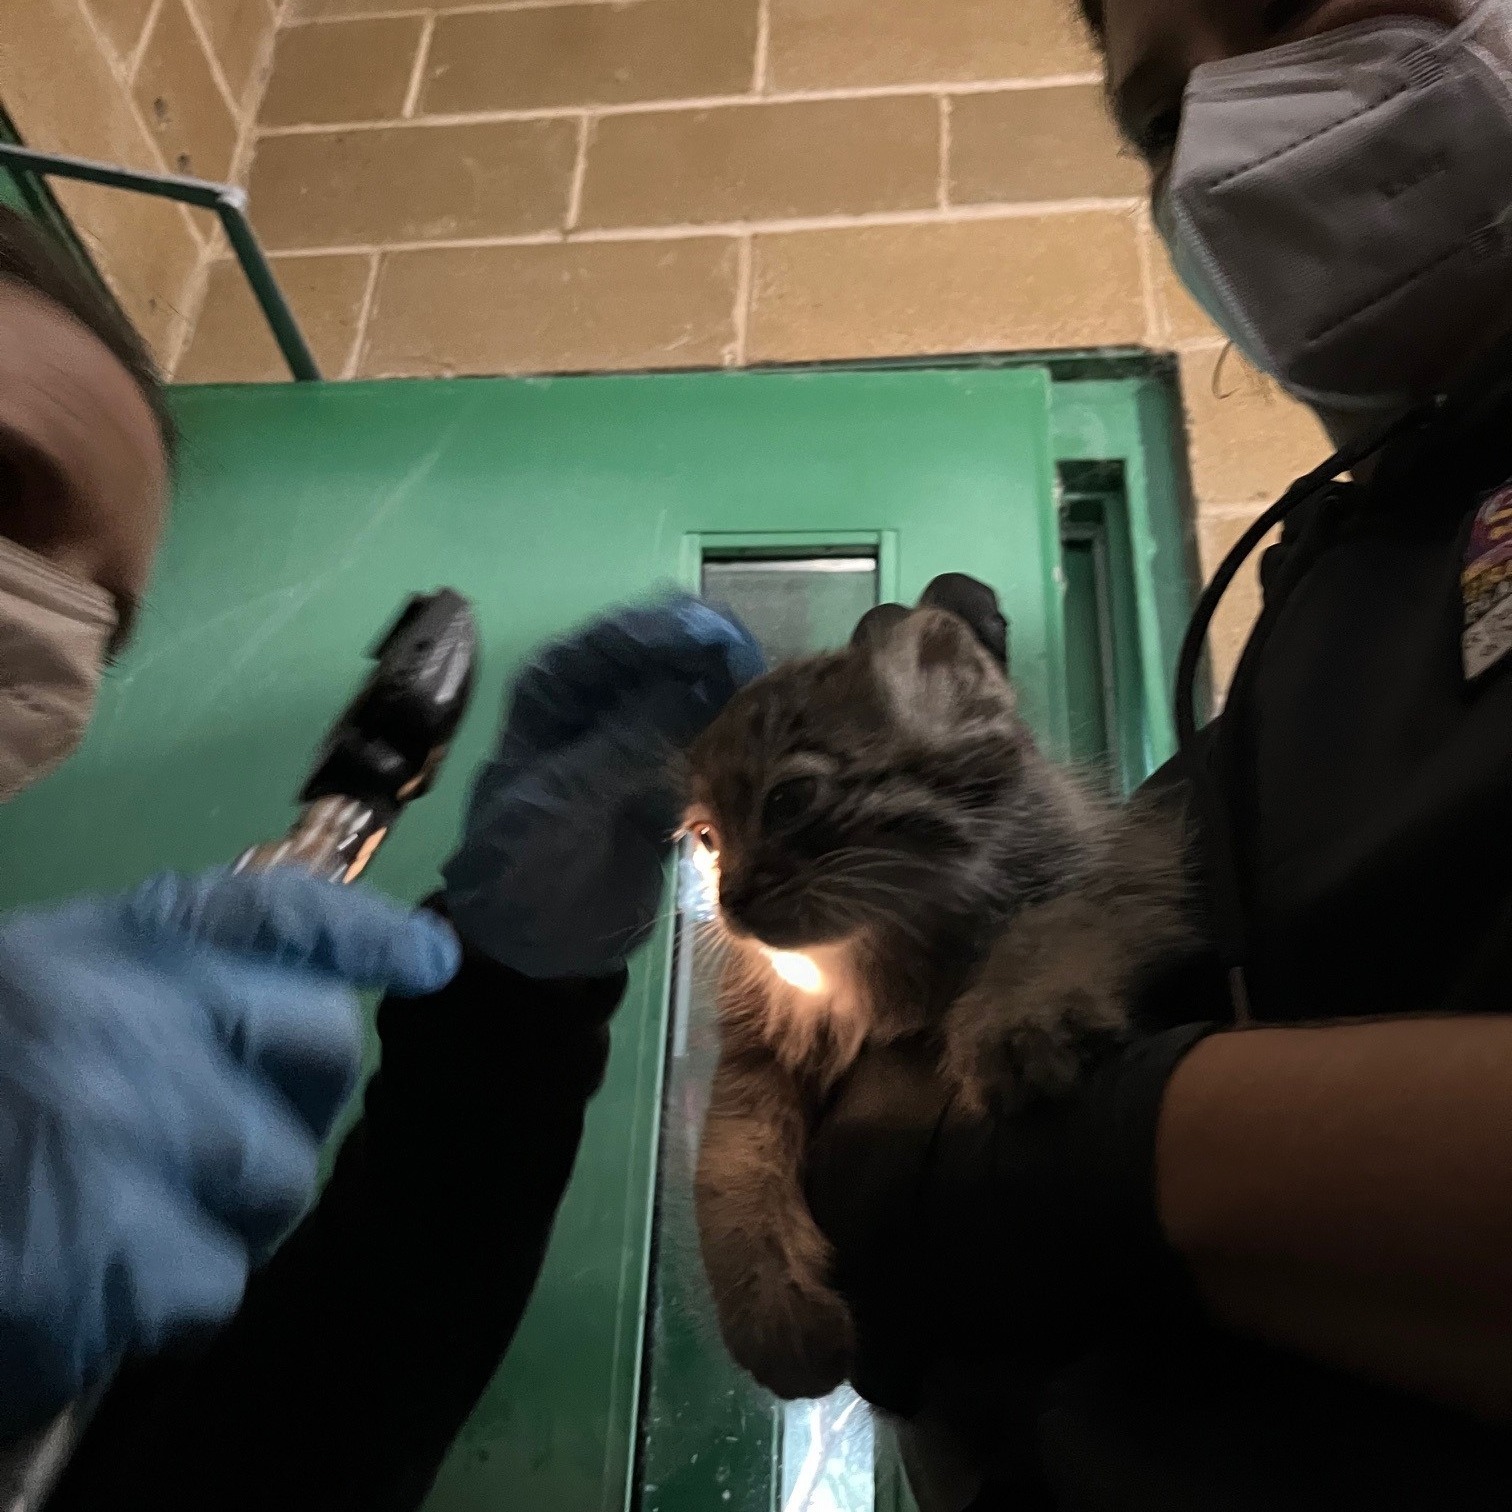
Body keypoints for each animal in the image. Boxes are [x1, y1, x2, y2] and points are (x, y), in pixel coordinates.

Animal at [686, 571, 1191, 1397]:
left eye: (787, 801)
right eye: (706, 839)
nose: (731, 899)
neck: (884, 944)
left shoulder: (1127, 872)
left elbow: (1047, 927)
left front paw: (1019, 1024)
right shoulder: (756, 1054)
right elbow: (729, 1174)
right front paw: (773, 1317)